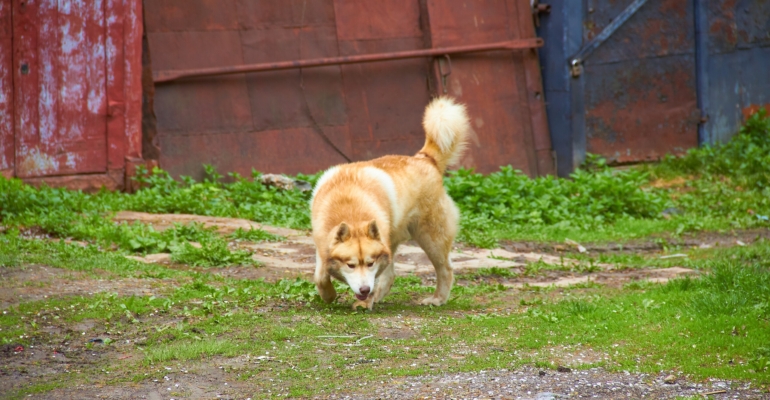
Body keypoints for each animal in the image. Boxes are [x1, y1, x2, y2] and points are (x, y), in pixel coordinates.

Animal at [310, 97, 468, 310]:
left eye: (369, 263)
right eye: (350, 265)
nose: (364, 290)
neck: (350, 208)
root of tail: (425, 159)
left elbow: (376, 275)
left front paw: (364, 302)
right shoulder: (321, 244)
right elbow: (320, 276)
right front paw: (328, 295)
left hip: (431, 238)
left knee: (445, 269)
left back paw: (437, 299)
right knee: (392, 273)